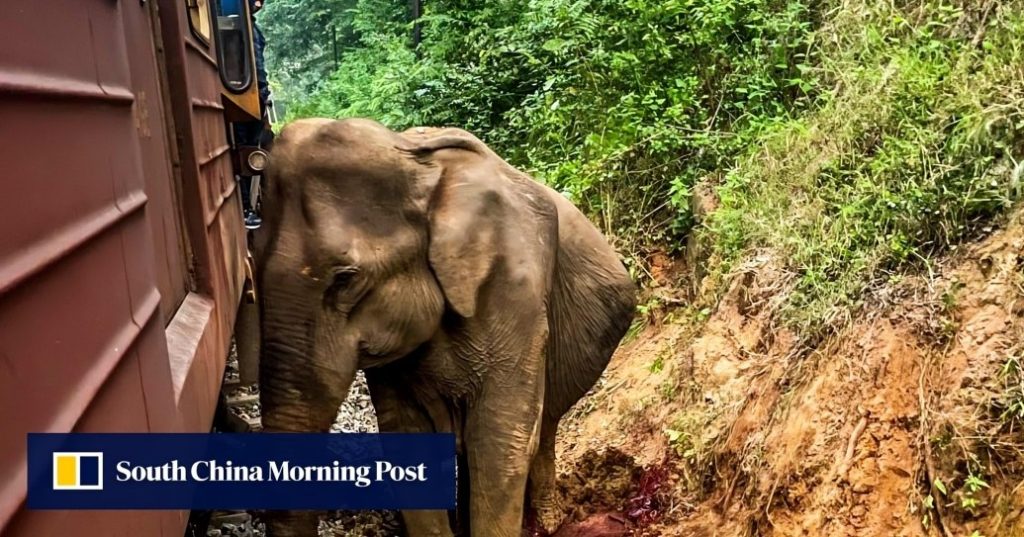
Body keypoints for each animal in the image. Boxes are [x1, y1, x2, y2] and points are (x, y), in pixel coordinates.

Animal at [256, 118, 634, 537]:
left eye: (345, 279)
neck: (418, 163)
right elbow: (406, 436)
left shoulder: (516, 286)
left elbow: (500, 438)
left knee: (543, 425)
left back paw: (548, 522)